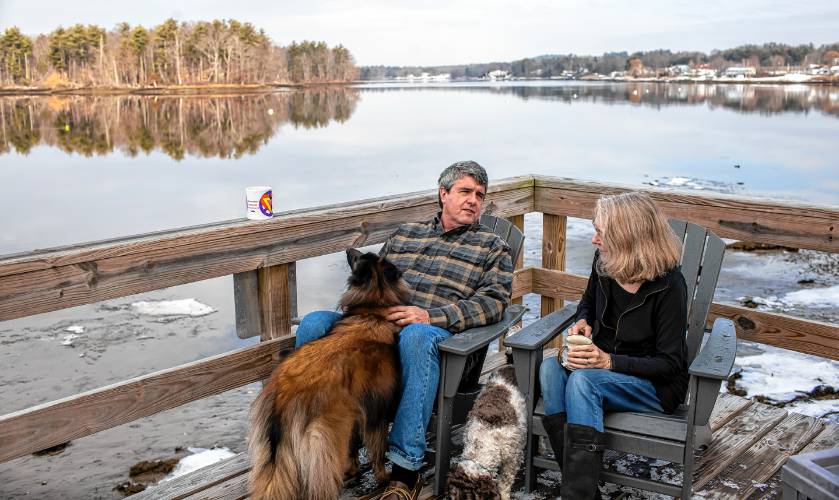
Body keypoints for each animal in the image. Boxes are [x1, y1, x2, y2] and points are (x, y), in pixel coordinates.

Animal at [246, 250, 410, 500]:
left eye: (360, 257)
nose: (349, 249)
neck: (373, 310)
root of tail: (282, 395)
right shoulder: (376, 413)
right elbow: (378, 451)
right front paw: (383, 477)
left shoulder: (357, 414)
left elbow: (354, 446)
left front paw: (352, 468)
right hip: (326, 440)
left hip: (273, 456)